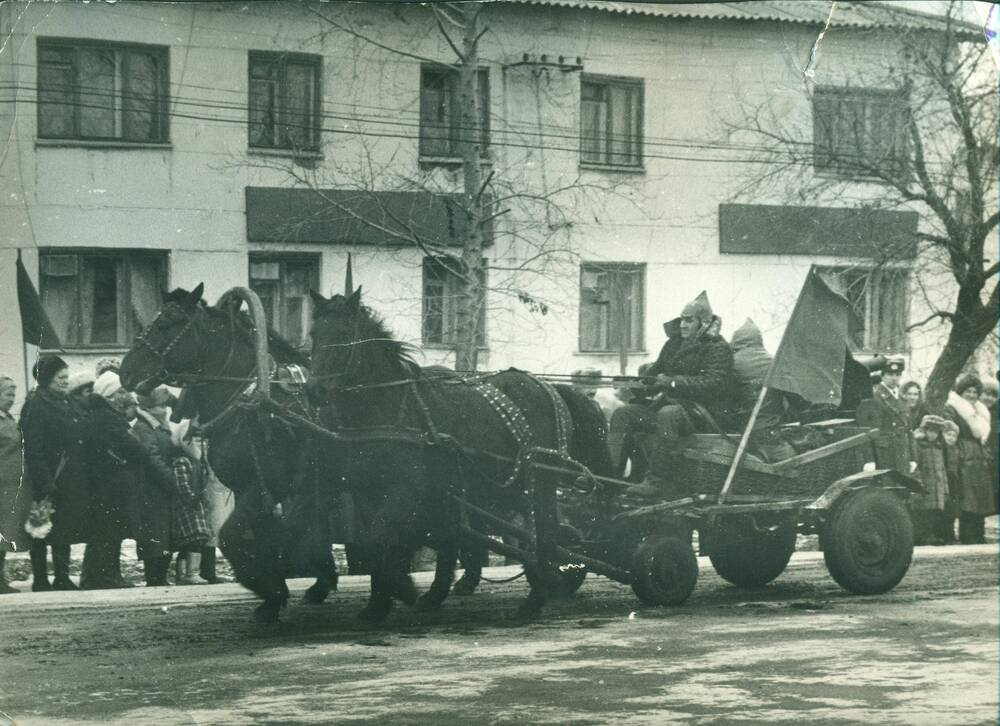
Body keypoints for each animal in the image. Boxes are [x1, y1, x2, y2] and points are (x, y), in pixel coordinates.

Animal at [118, 288, 338, 624]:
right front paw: (281, 591)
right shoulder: (252, 489)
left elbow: (232, 538)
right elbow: (264, 538)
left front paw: (270, 590)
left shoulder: (267, 487)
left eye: (167, 322)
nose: (125, 370)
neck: (251, 399)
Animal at [306, 288, 600, 624]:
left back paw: (535, 598)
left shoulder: (407, 489)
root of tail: (547, 386)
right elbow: (378, 542)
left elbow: (382, 540)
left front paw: (400, 590)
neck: (388, 407)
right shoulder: (367, 492)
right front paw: (378, 605)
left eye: (344, 335)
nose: (313, 391)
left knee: (545, 536)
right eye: (314, 334)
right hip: (510, 486)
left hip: (539, 482)